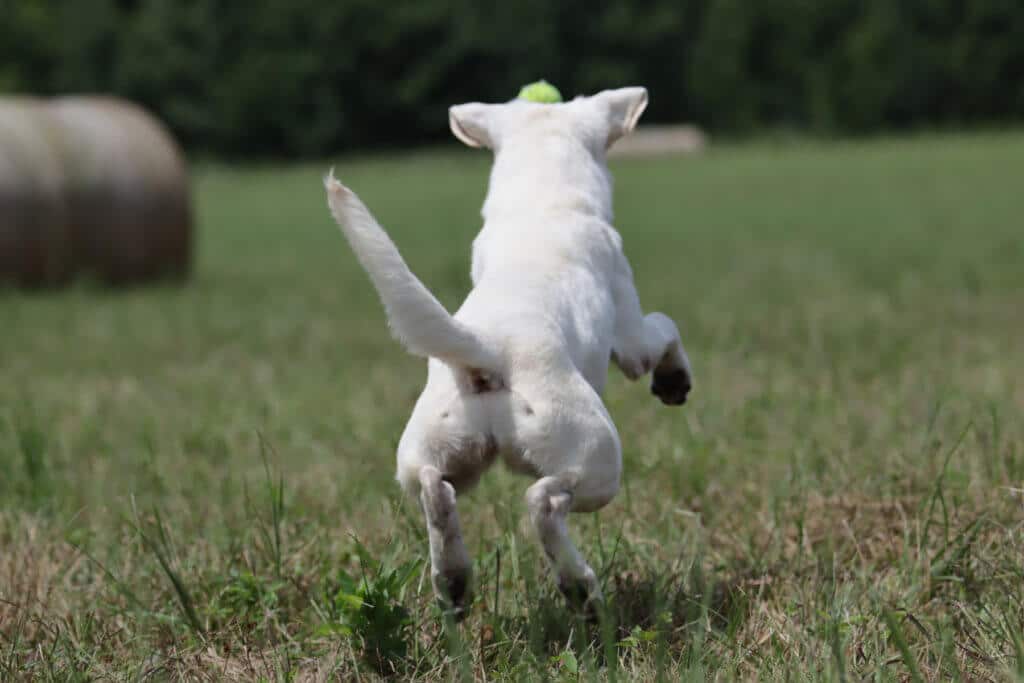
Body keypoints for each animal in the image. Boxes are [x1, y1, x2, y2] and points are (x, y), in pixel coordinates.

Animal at [325, 87, 696, 618]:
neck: (540, 203)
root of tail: (488, 350)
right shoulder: (630, 336)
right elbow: (663, 327)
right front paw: (674, 381)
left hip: (434, 453)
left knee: (436, 492)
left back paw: (454, 582)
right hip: (597, 457)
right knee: (543, 502)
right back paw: (579, 588)